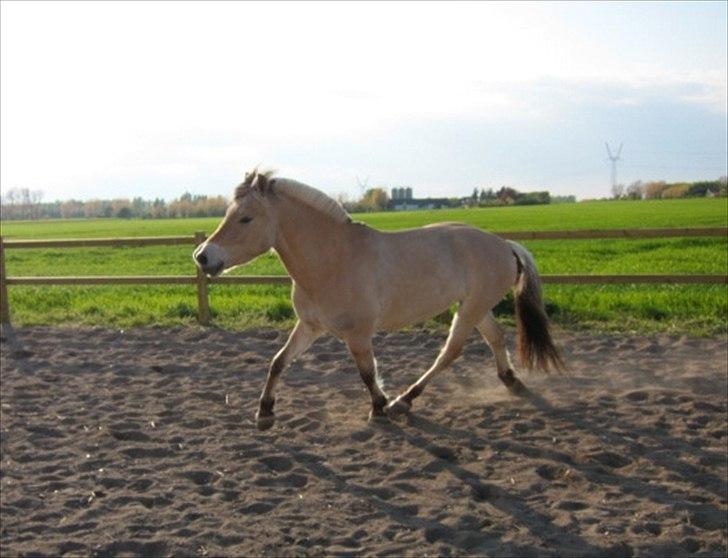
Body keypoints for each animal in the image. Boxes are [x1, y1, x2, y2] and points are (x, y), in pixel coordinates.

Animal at [193, 168, 564, 430]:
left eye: (246, 218)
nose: (202, 257)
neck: (333, 259)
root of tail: (505, 245)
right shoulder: (310, 326)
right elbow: (278, 361)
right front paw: (265, 413)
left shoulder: (358, 334)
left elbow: (367, 373)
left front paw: (379, 408)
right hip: (476, 306)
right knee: (496, 338)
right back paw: (511, 382)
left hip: (471, 309)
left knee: (450, 352)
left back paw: (404, 401)